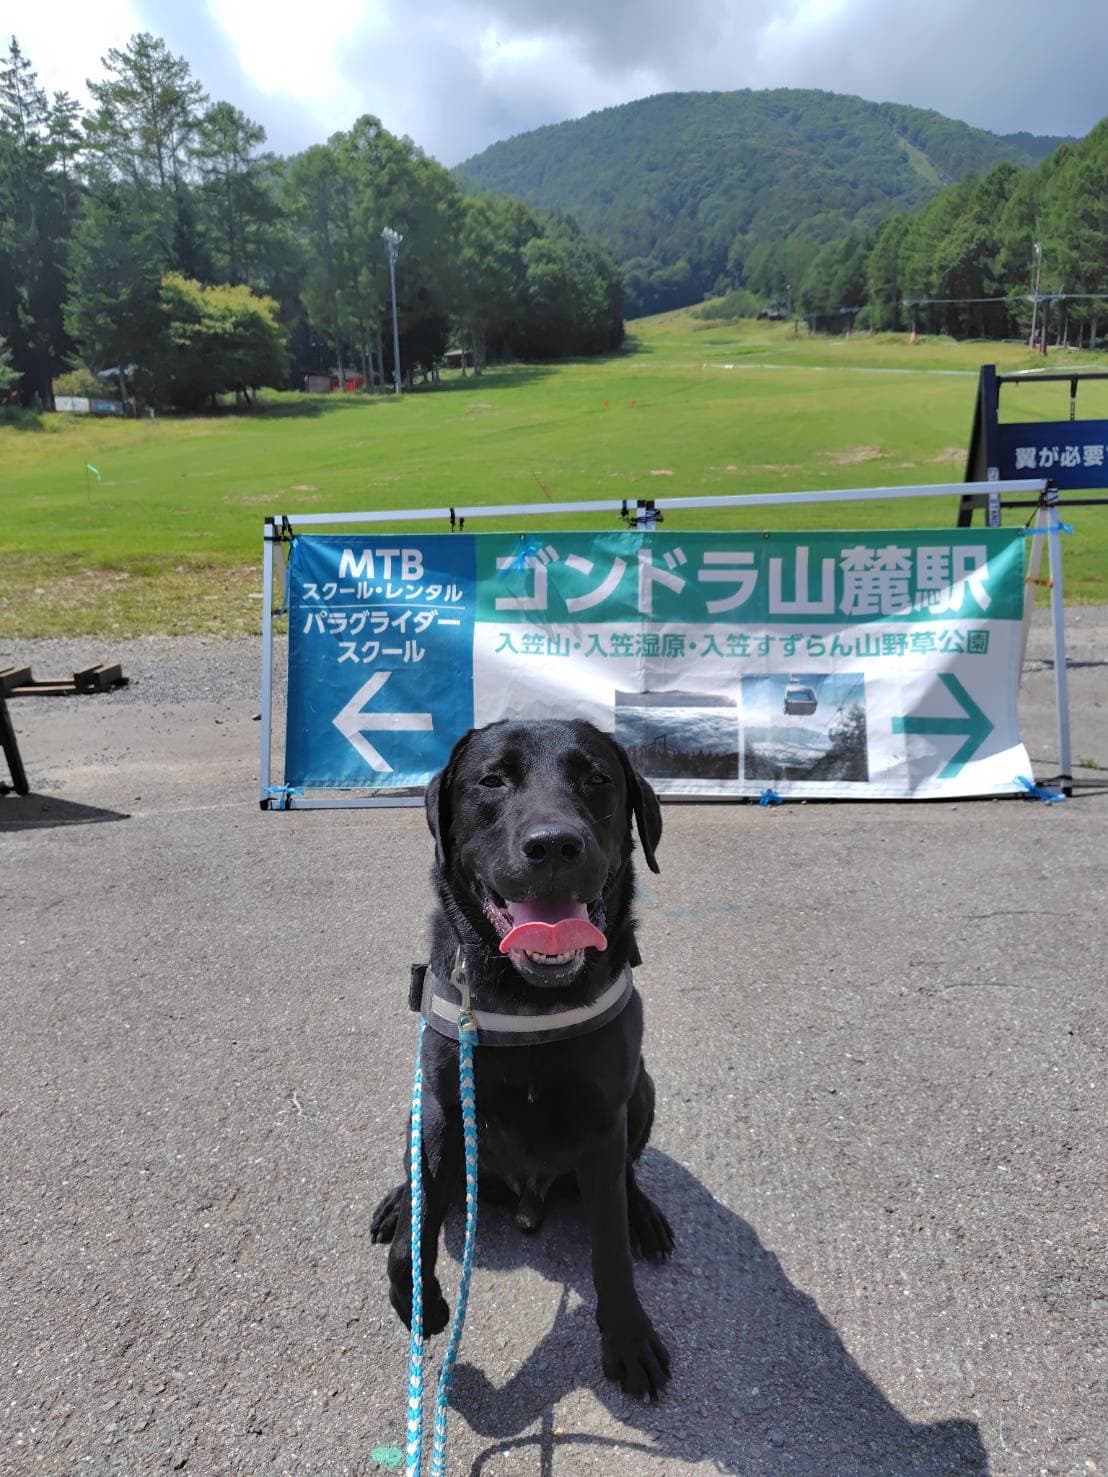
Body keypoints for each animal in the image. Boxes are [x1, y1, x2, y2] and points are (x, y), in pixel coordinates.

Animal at [370, 718, 673, 1400]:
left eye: (597, 778)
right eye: (492, 780)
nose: (555, 845)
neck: (528, 995)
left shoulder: (603, 1119)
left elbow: (609, 1242)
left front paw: (628, 1338)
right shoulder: (442, 1105)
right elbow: (414, 1235)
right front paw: (419, 1298)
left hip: (642, 1090)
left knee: (628, 1175)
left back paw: (645, 1215)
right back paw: (395, 1200)